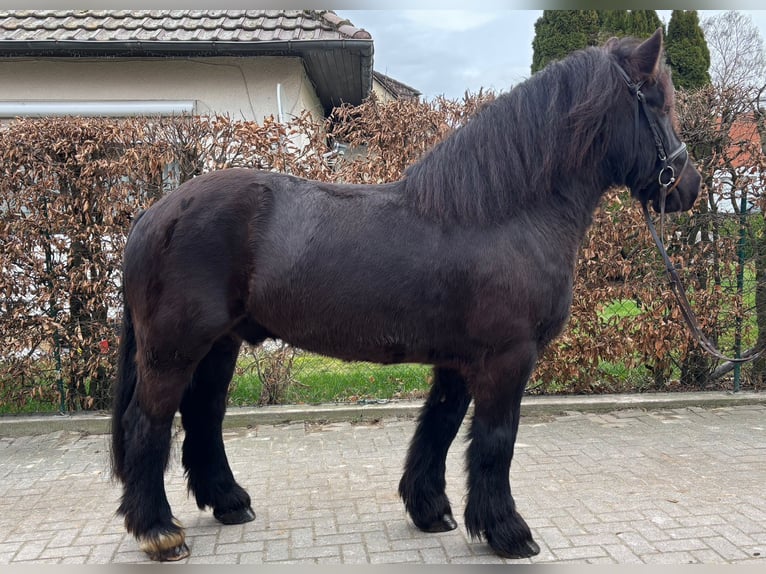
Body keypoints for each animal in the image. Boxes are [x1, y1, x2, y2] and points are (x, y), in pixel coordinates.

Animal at [111, 28, 701, 561]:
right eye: (658, 103)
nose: (688, 187)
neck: (501, 213)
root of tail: (155, 212)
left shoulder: (460, 360)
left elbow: (438, 428)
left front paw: (431, 510)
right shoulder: (507, 358)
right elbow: (495, 441)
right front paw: (507, 532)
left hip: (221, 344)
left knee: (203, 417)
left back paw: (229, 503)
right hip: (173, 349)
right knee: (149, 425)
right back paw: (159, 532)